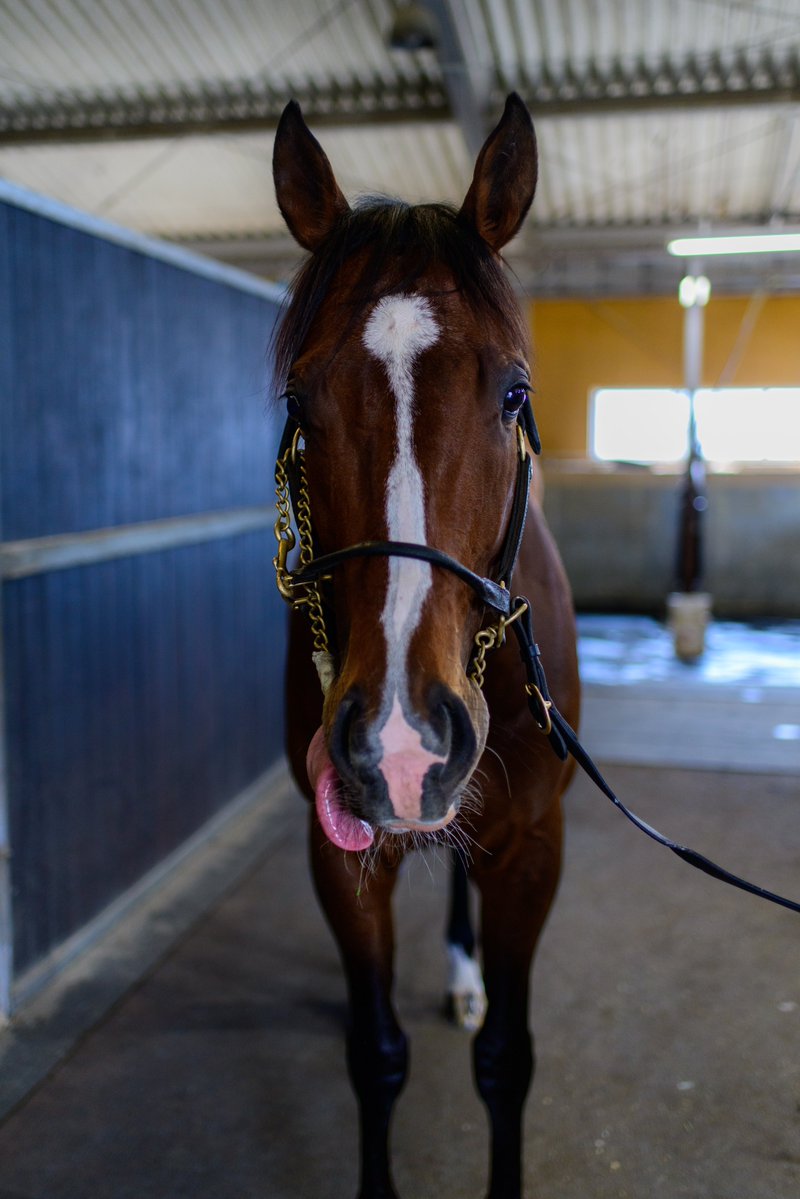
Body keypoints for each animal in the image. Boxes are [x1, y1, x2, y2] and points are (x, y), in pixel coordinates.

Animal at [271, 93, 580, 1199]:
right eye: (298, 403)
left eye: (514, 393)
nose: (400, 744)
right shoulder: (336, 851)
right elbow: (375, 1055)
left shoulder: (531, 846)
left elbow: (507, 1062)